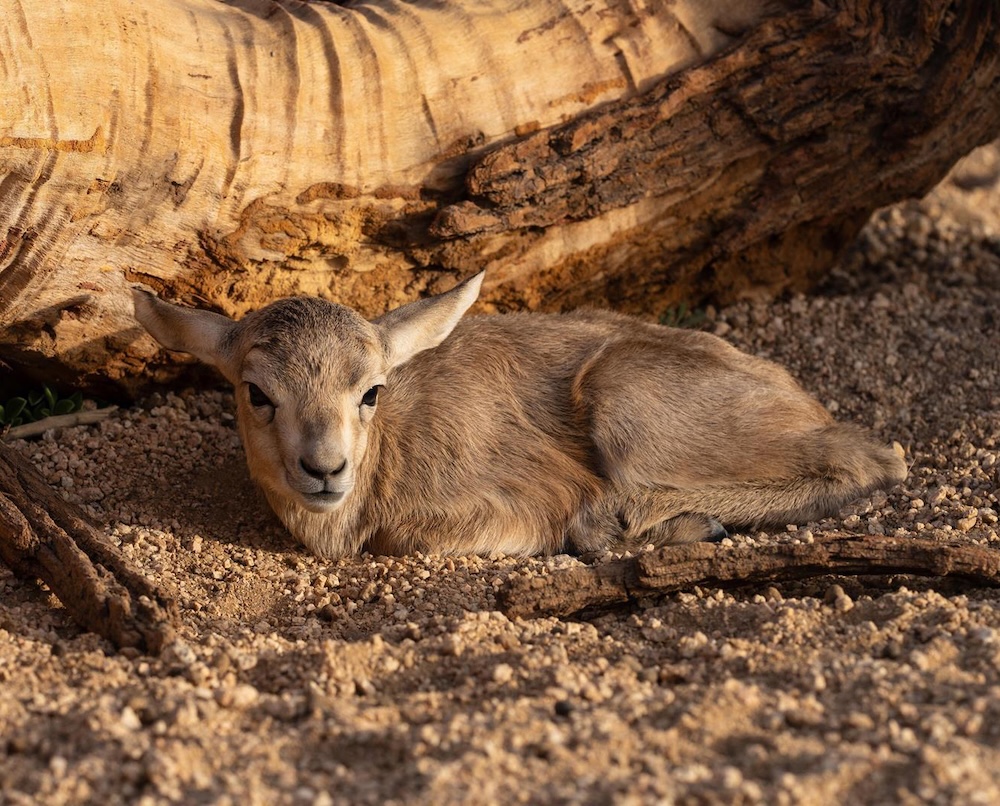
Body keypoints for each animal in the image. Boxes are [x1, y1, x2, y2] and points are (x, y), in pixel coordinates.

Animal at [132, 272, 906, 558]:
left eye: (372, 390)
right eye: (257, 392)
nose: (325, 468)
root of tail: (795, 397)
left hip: (624, 404)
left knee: (876, 458)